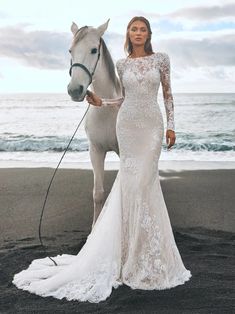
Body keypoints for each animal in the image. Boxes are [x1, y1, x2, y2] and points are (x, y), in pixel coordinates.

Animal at [66, 20, 121, 228]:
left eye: (93, 50)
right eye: (70, 51)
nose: (75, 90)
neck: (107, 107)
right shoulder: (95, 151)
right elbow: (97, 194)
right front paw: (95, 228)